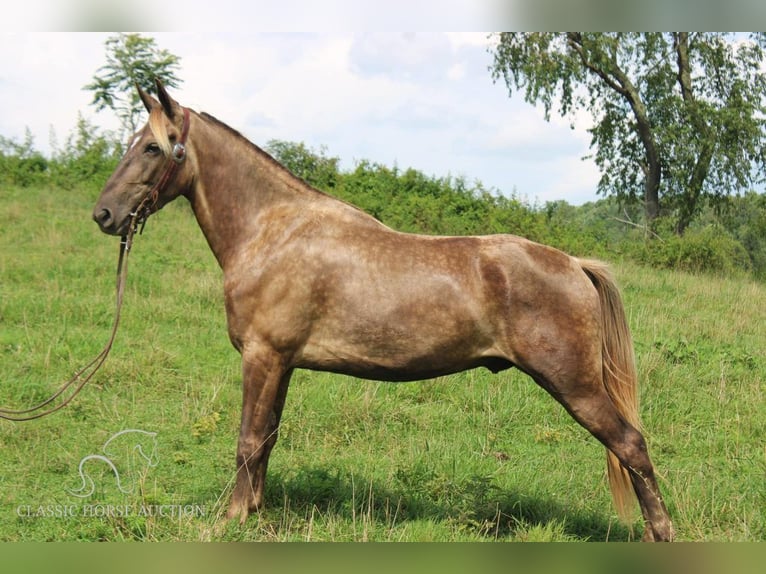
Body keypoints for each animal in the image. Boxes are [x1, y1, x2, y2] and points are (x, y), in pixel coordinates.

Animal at [93, 79, 676, 544]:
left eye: (151, 147)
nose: (104, 215)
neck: (273, 232)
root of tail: (575, 264)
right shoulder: (282, 364)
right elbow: (267, 440)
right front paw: (255, 509)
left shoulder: (262, 357)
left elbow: (247, 440)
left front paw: (232, 519)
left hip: (575, 384)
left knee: (631, 445)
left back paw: (661, 533)